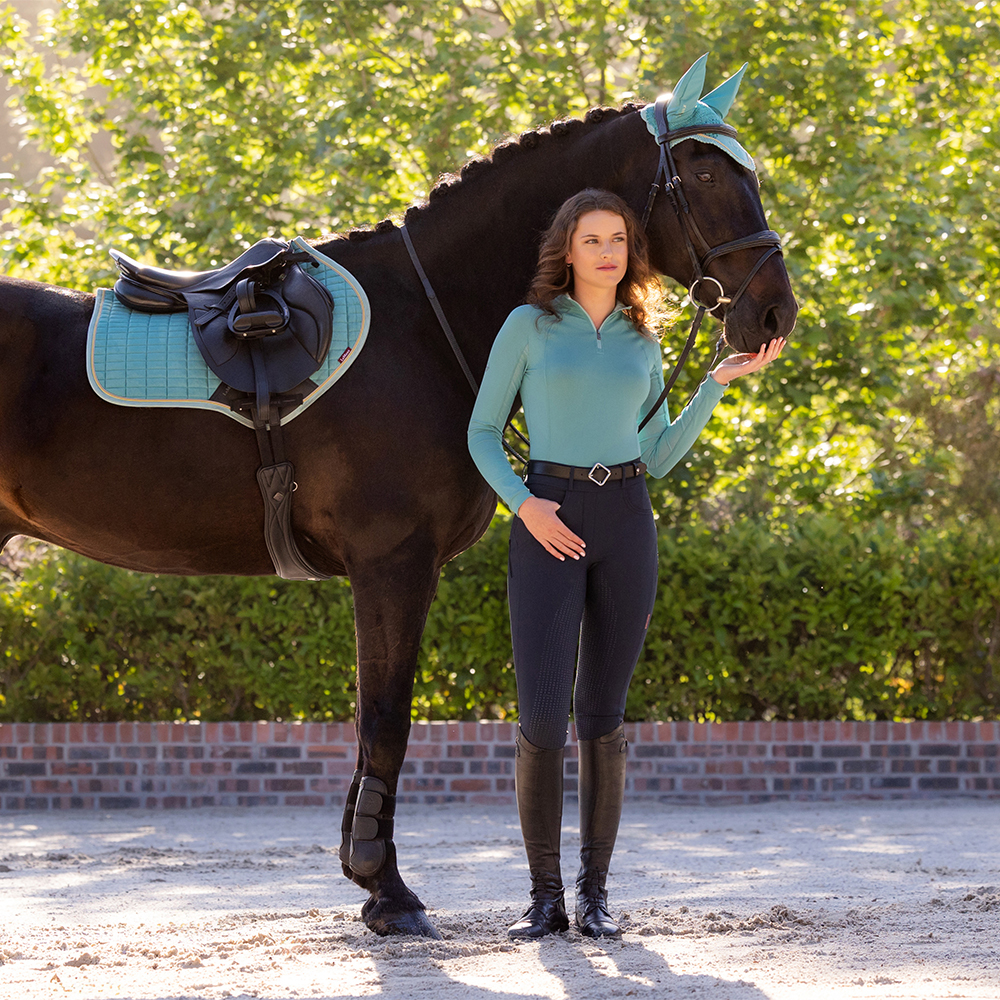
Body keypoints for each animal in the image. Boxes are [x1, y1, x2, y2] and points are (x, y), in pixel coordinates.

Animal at [0, 67, 796, 937]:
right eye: (705, 174)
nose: (775, 312)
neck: (424, 321)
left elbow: (372, 720)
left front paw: (365, 873)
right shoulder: (393, 562)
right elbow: (387, 718)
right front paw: (388, 891)